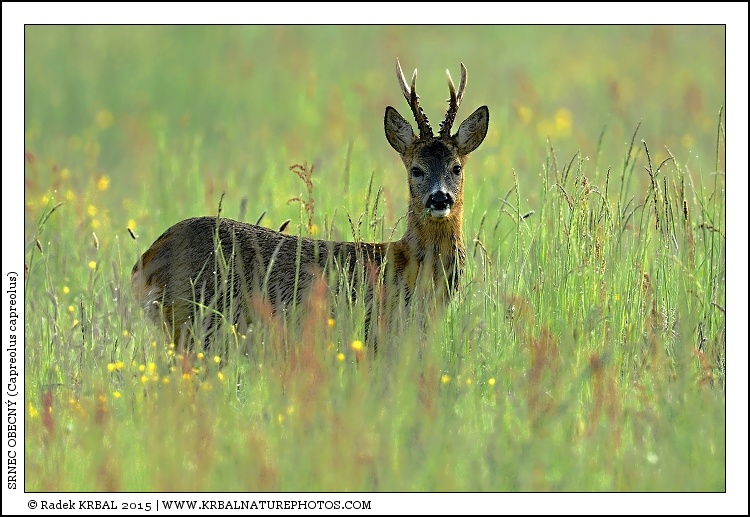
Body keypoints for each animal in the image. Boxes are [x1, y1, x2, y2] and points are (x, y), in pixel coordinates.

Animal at [131, 59, 489, 352]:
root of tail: (145, 262)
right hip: (194, 321)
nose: (440, 198)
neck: (409, 266)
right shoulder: (375, 334)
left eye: (456, 167)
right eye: (416, 169)